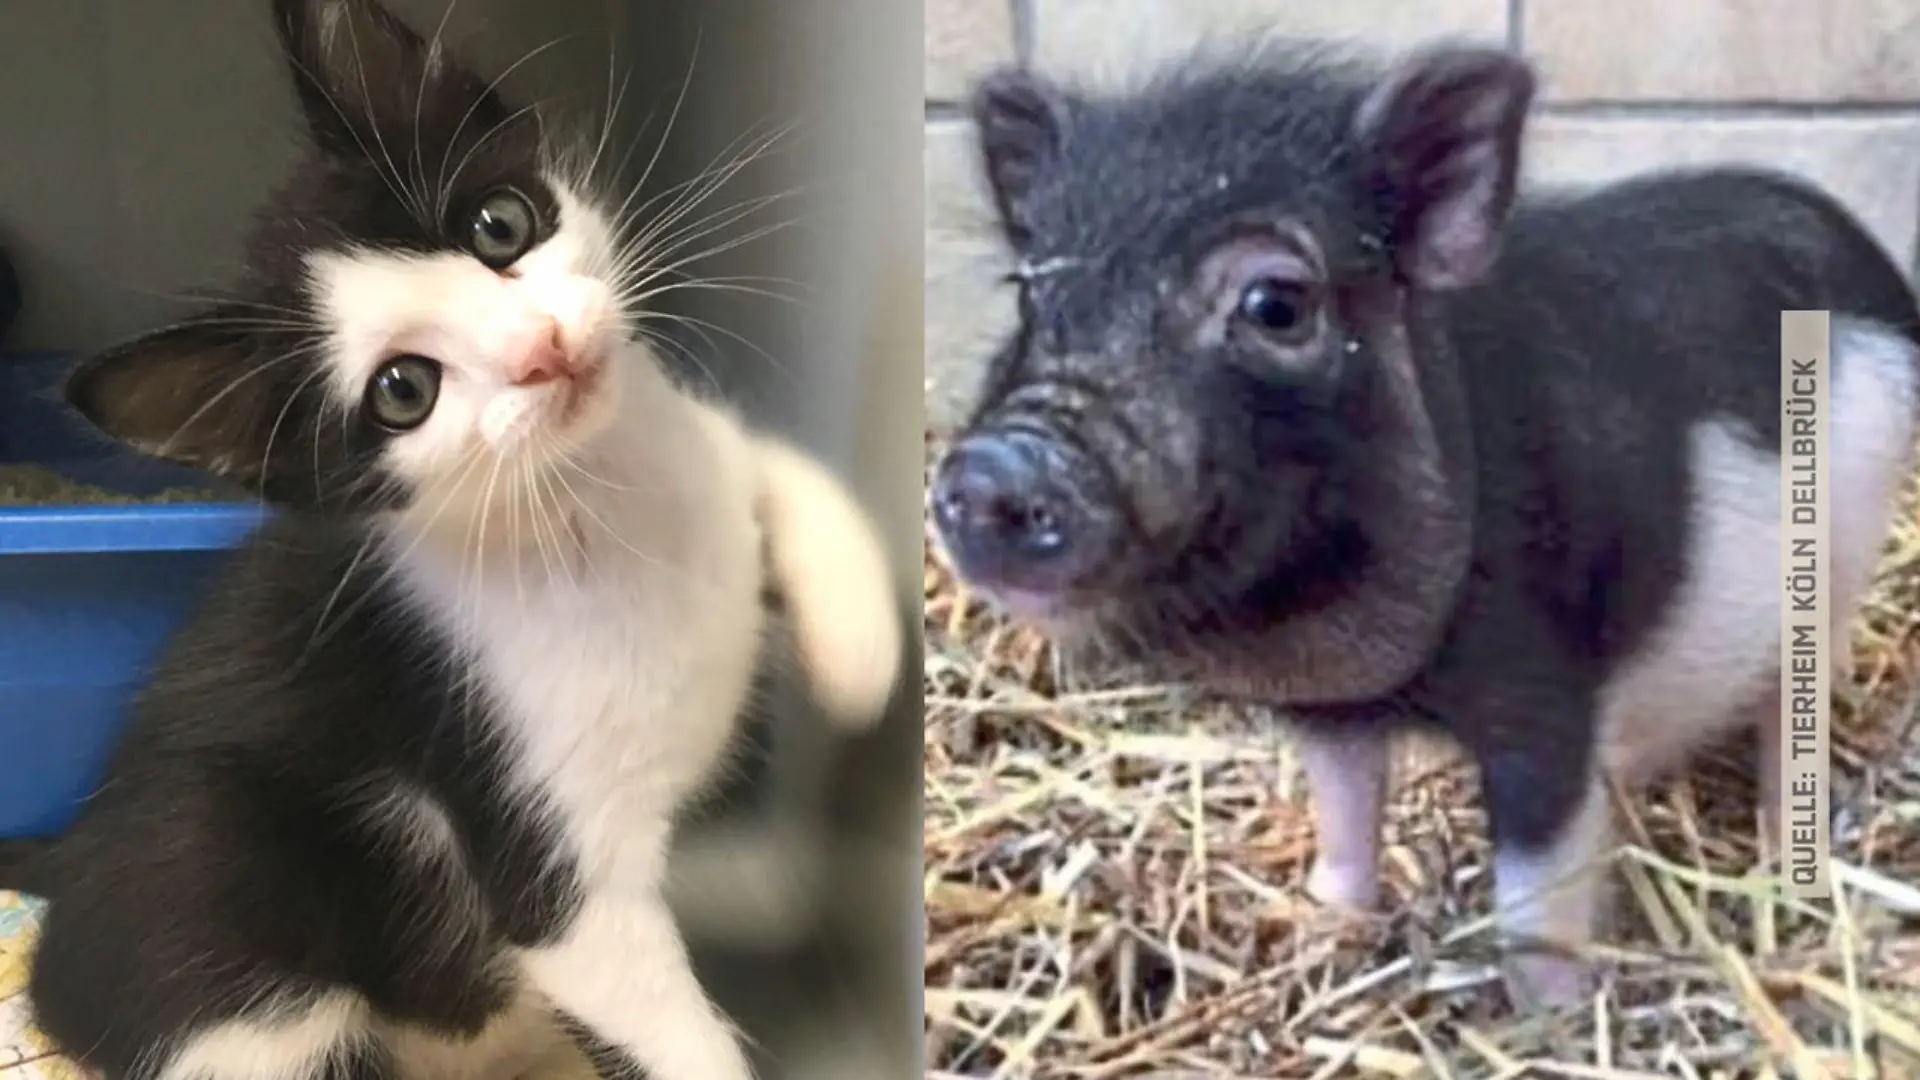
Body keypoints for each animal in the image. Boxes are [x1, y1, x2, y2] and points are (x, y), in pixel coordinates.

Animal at [926, 38, 1920, 1008]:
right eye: (1029, 295)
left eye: (1275, 305)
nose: (995, 465)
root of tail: (1871, 264)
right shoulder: (1328, 708)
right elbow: (1345, 815)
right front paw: (1324, 930)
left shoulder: (1545, 694)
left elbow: (1535, 884)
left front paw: (1551, 1021)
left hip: (1843, 564)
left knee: (1793, 707)